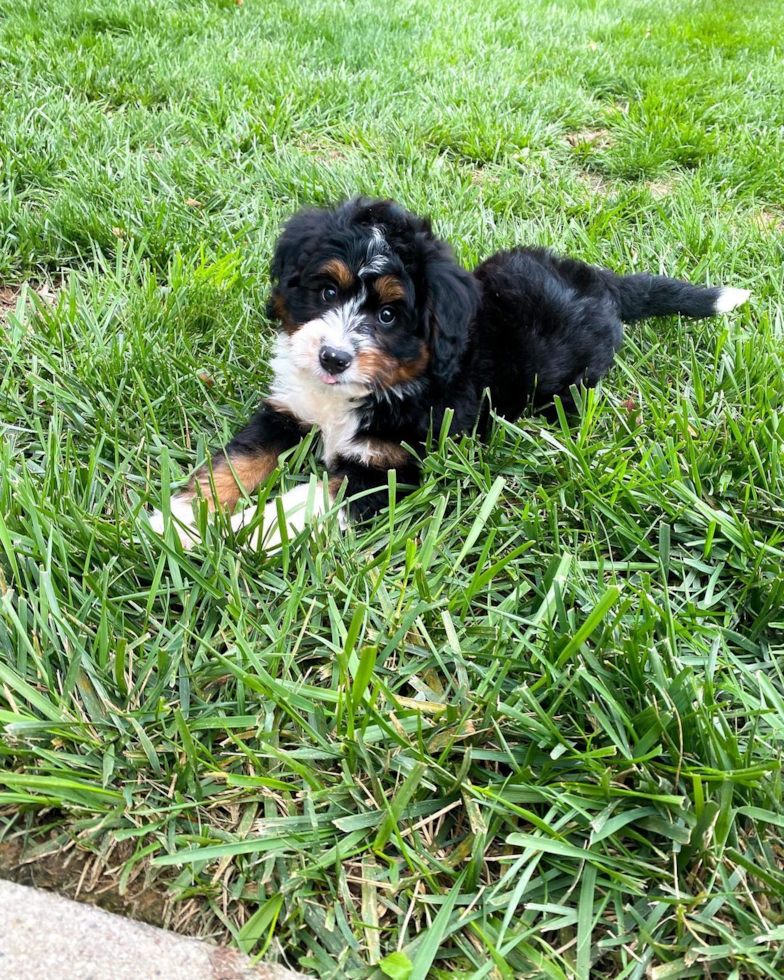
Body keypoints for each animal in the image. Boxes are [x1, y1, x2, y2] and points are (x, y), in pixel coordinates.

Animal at [150, 195, 752, 548]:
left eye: (389, 315)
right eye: (326, 292)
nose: (332, 358)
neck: (370, 389)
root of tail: (601, 282)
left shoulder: (391, 465)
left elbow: (307, 501)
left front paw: (242, 535)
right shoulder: (287, 409)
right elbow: (235, 462)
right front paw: (181, 521)